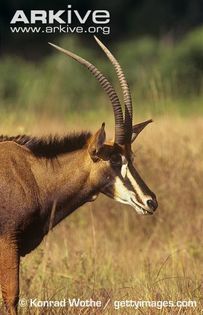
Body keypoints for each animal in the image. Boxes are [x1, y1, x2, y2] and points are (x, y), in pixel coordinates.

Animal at [0, 36, 158, 314]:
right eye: (115, 159)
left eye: (132, 157)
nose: (151, 202)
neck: (33, 174)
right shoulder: (7, 241)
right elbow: (12, 297)